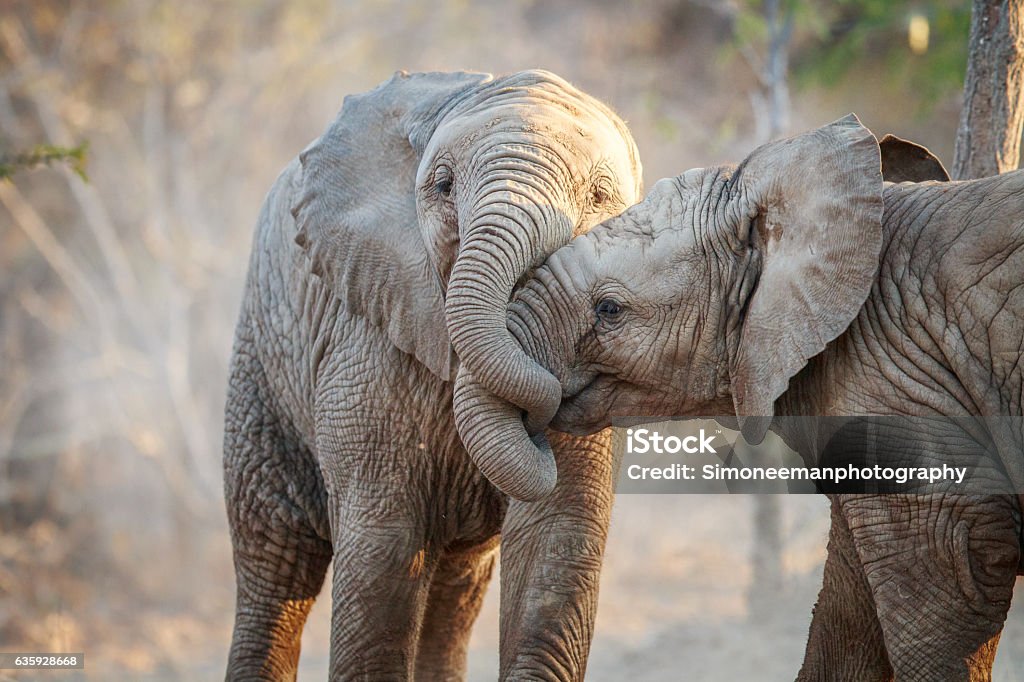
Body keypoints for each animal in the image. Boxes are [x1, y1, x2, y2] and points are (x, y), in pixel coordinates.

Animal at [223, 70, 638, 679]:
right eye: (443, 186)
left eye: (600, 197)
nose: (538, 417)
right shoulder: (365, 338)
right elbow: (384, 546)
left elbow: (556, 534)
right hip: (261, 360)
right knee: (275, 560)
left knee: (454, 589)